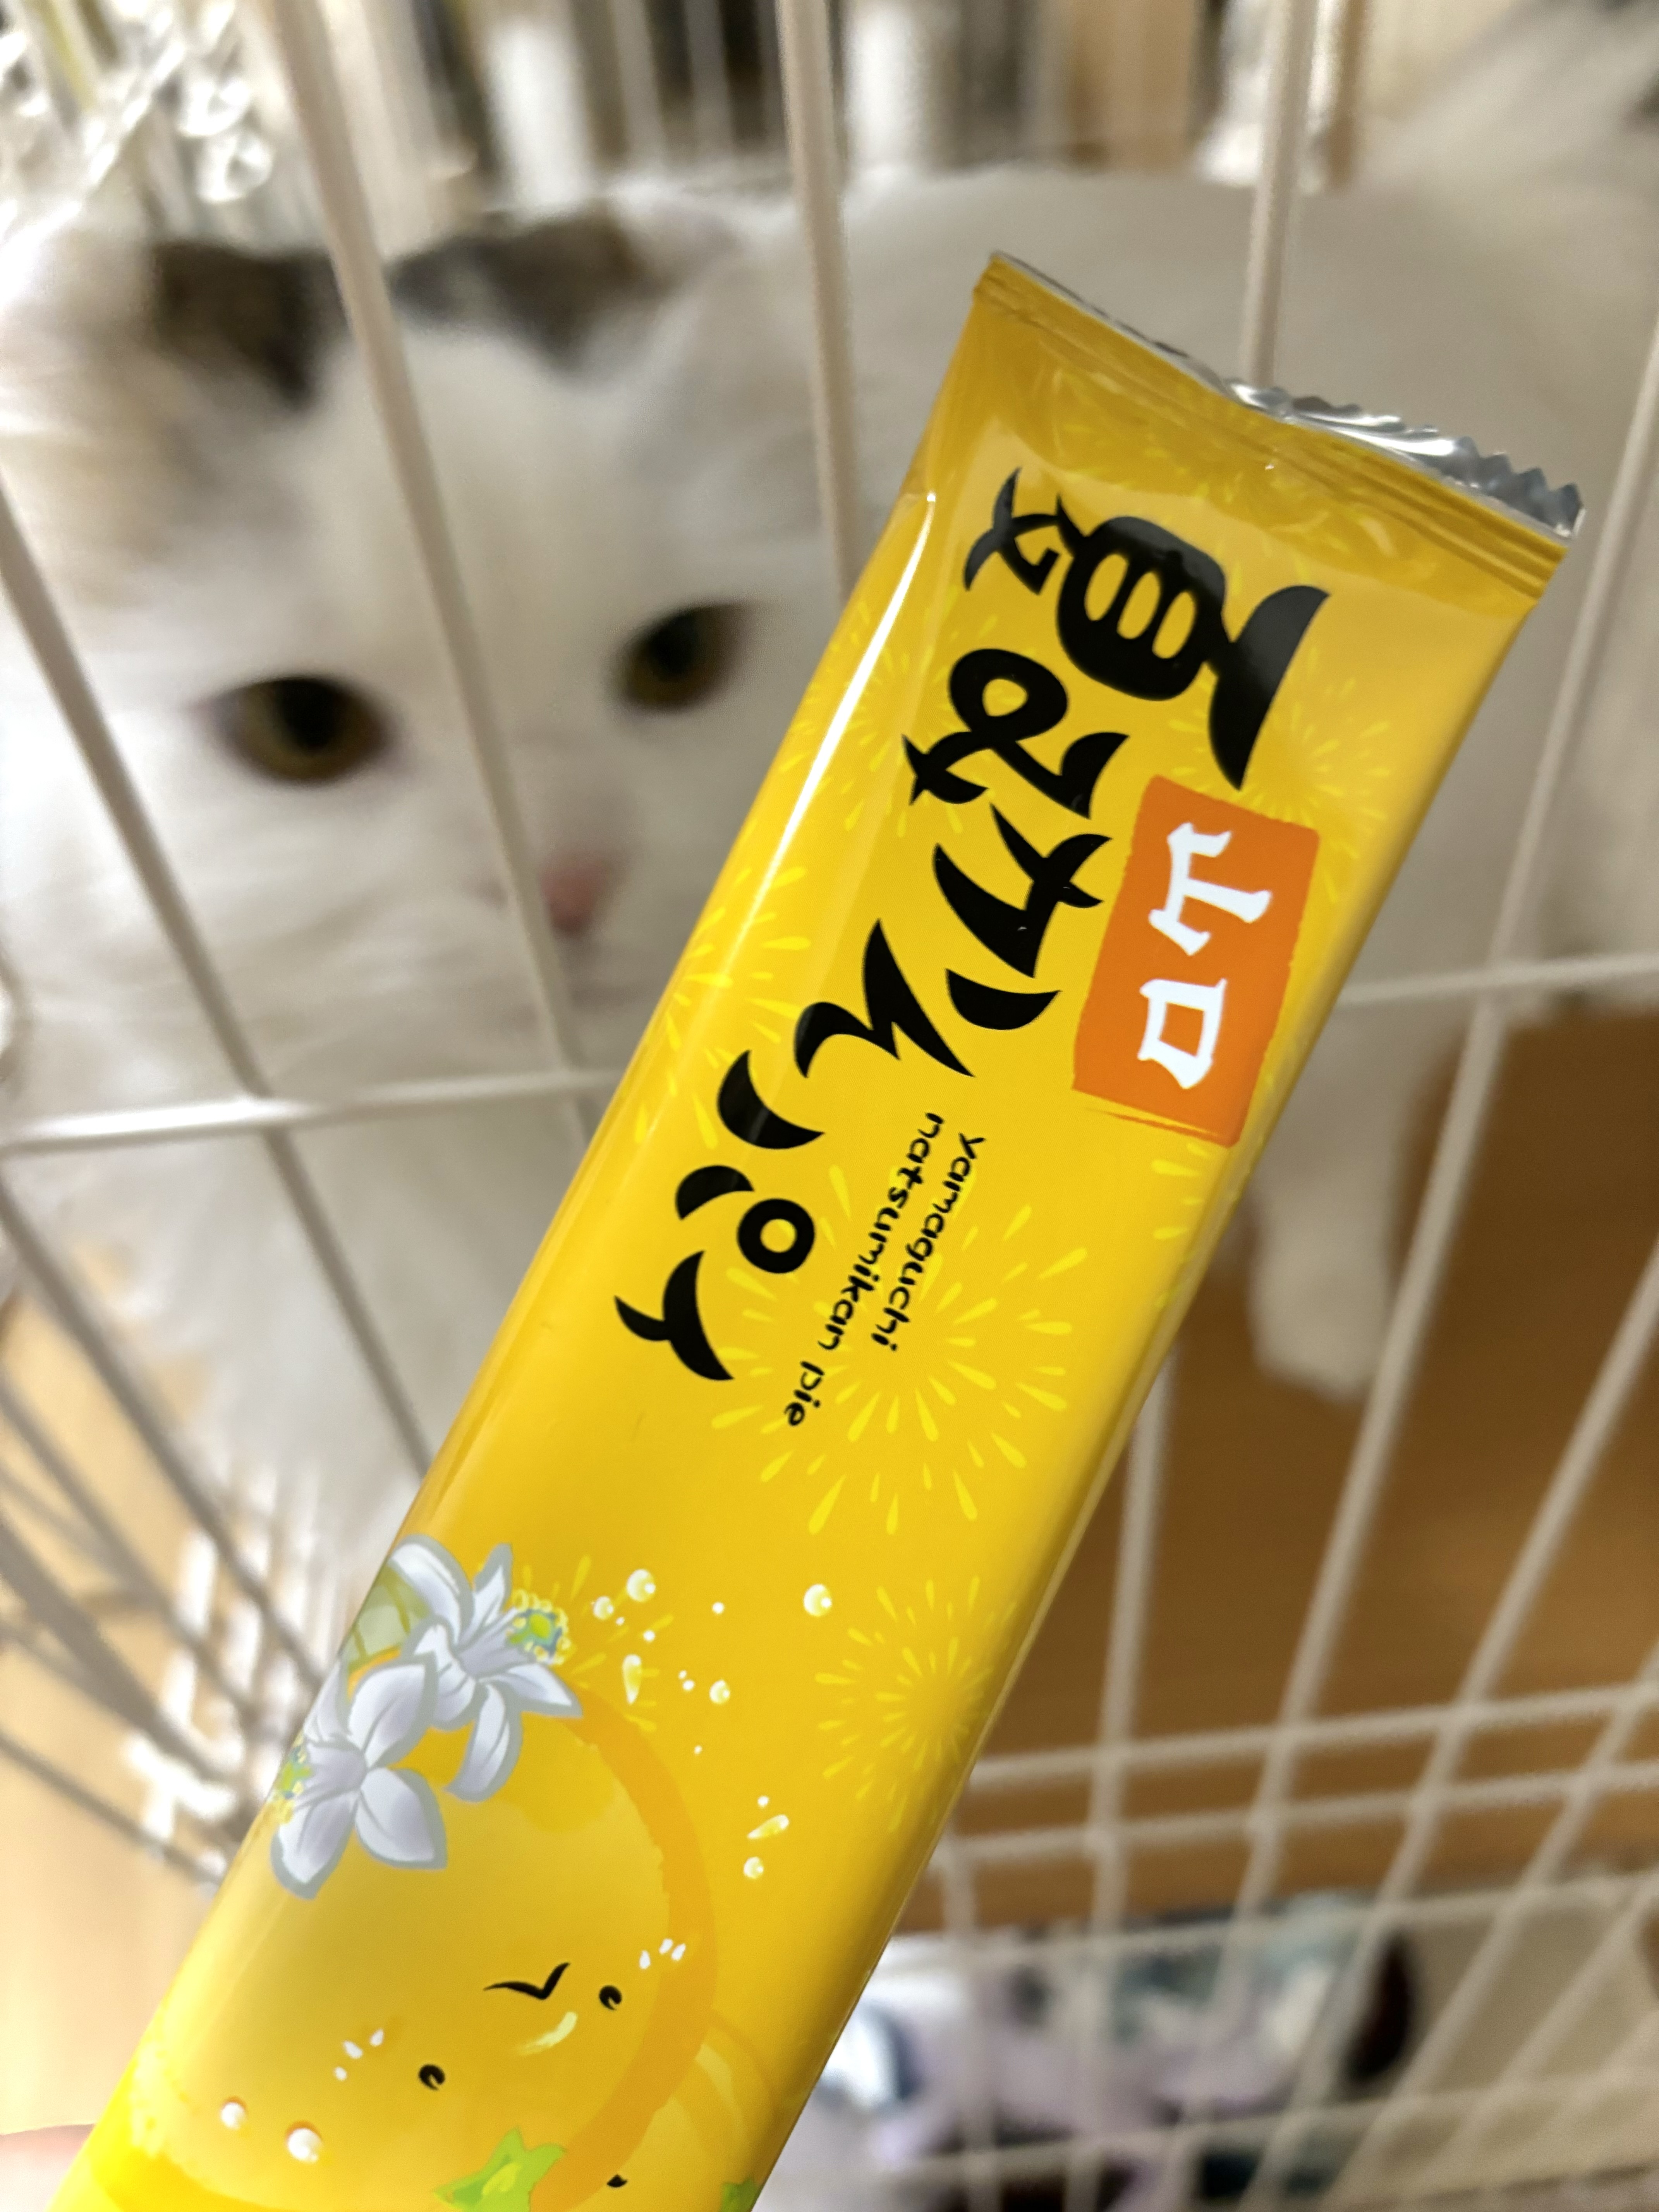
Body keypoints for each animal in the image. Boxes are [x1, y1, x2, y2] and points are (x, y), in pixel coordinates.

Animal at [3, 0, 1658, 1587]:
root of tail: (1431, 232)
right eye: (297, 730)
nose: (565, 886)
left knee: (1352, 1135)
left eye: (680, 660)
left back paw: (1338, 1335)